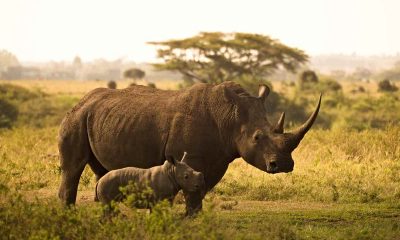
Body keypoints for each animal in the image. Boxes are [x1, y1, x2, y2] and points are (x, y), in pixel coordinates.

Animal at [58, 80, 322, 214]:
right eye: (257, 138)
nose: (284, 164)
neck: (230, 118)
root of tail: (82, 100)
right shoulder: (191, 157)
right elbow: (194, 191)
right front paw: (189, 218)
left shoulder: (218, 158)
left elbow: (201, 187)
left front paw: (192, 216)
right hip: (76, 118)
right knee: (73, 168)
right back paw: (68, 212)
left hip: (100, 118)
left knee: (102, 169)